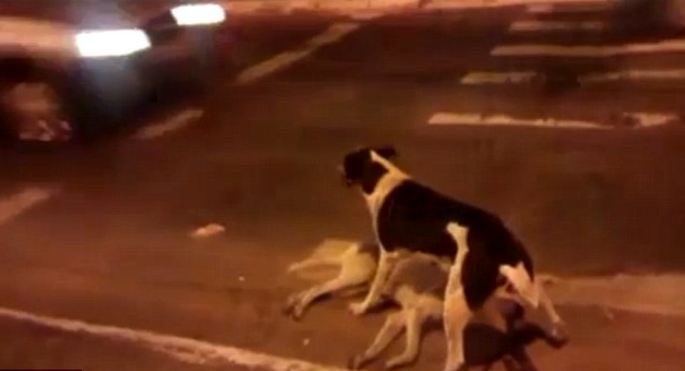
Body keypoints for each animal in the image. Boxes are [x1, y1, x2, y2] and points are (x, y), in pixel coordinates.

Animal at [340, 147, 564, 371]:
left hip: (455, 304)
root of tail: (501, 240)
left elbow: (375, 288)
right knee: (543, 298)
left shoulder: (388, 255)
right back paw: (556, 328)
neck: (384, 179)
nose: (337, 168)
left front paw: (362, 307)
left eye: (345, 161)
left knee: (457, 358)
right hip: (513, 284)